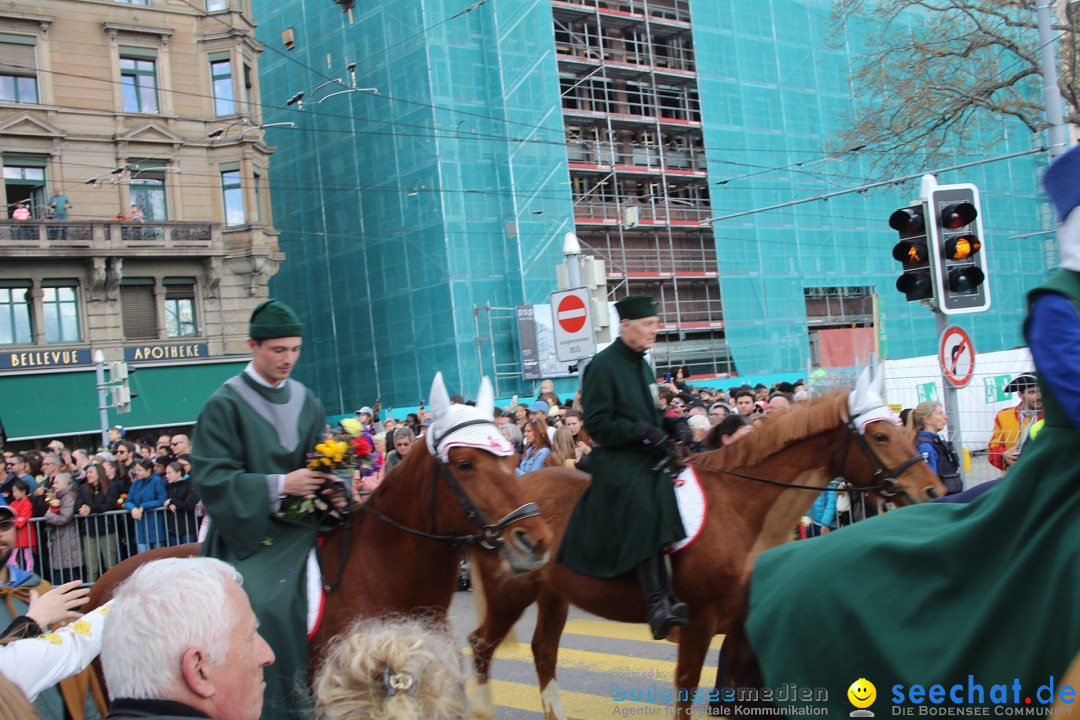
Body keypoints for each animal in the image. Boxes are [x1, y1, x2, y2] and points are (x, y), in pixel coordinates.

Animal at [468, 379, 941, 716]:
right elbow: (687, 689)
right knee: (480, 646)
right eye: (880, 436)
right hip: (511, 594)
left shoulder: (740, 626)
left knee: (543, 652)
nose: (933, 490)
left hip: (552, 596)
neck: (741, 507)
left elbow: (740, 692)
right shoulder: (697, 625)